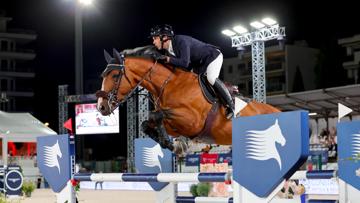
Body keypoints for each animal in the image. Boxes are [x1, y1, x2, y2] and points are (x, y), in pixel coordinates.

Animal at [96, 46, 282, 155]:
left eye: (115, 75)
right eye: (102, 75)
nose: (101, 107)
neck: (169, 84)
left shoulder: (193, 121)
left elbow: (157, 115)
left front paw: (176, 146)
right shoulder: (176, 126)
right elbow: (147, 123)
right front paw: (172, 144)